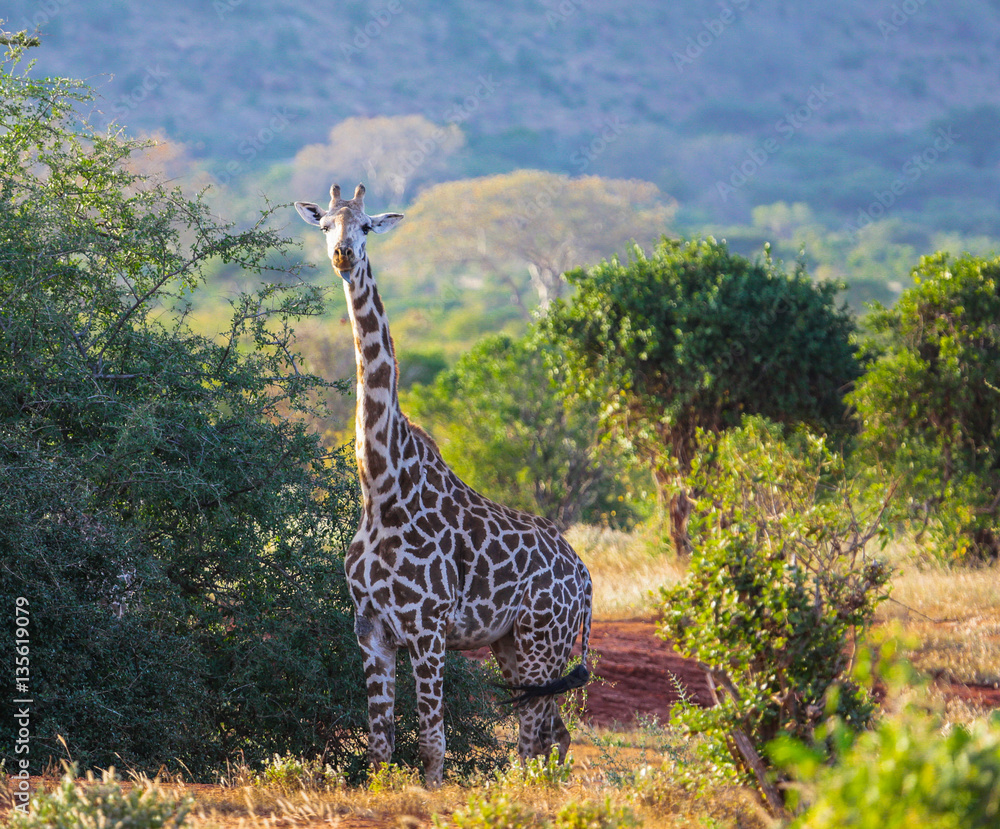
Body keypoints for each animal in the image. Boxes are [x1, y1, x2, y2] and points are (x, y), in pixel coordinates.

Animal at [294, 183, 593, 786]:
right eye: (325, 226)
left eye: (366, 226)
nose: (342, 256)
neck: (381, 490)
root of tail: (585, 577)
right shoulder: (370, 630)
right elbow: (380, 745)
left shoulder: (427, 629)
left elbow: (433, 744)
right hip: (512, 644)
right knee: (553, 734)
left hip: (543, 640)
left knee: (534, 736)